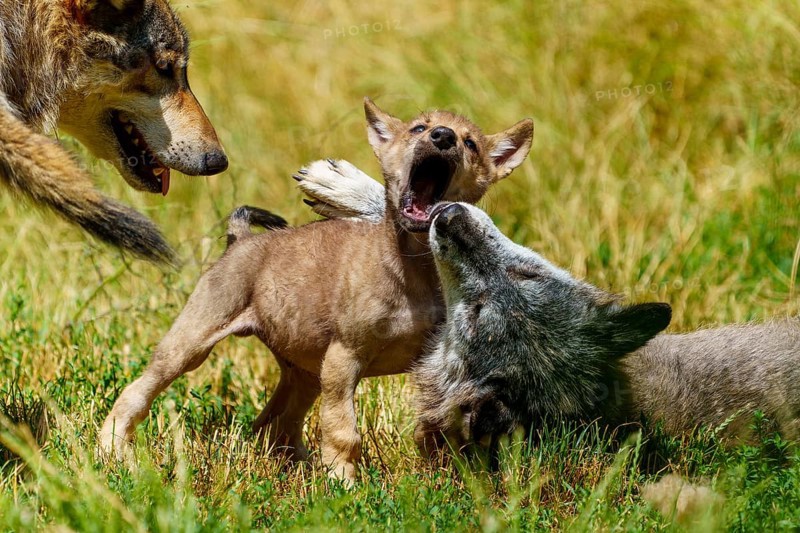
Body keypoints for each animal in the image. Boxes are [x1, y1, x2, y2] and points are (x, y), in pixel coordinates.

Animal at [99, 98, 534, 482]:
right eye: (419, 128)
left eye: (470, 143)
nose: (443, 136)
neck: (415, 269)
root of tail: (240, 240)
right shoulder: (344, 358)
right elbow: (344, 433)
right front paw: (346, 487)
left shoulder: (434, 364)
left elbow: (438, 423)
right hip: (190, 344)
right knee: (137, 392)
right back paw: (113, 450)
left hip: (304, 373)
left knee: (272, 426)